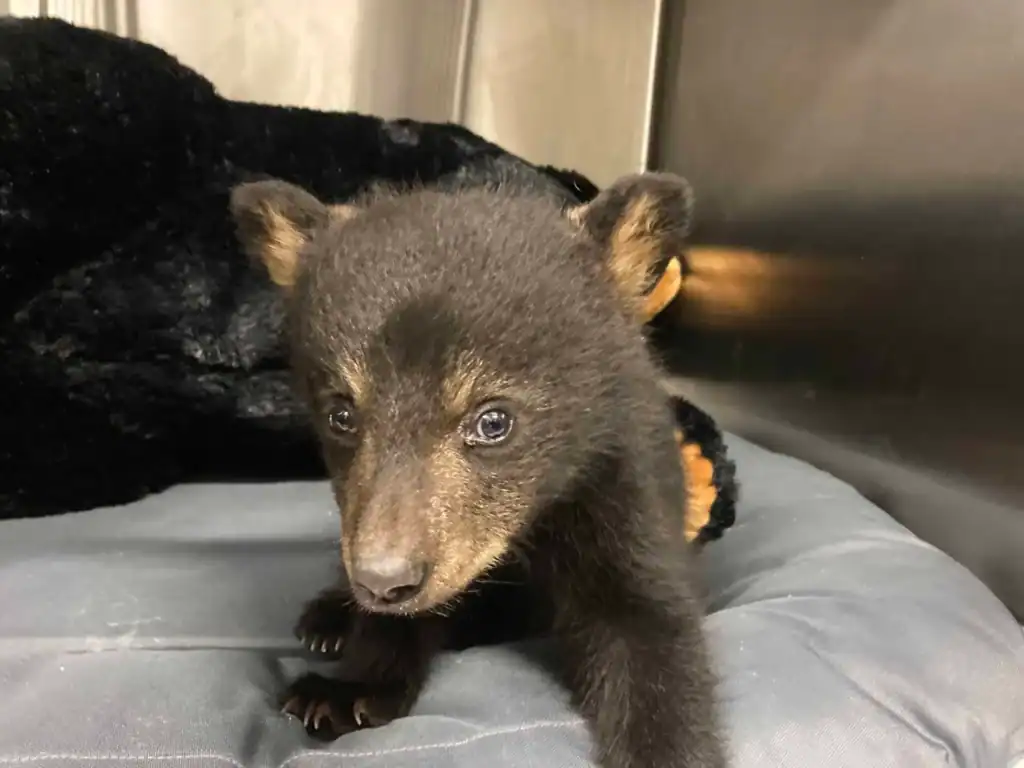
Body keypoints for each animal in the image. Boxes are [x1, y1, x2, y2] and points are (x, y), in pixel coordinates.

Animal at [228, 171, 726, 768]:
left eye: (493, 421)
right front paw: (346, 690)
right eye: (341, 415)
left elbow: (652, 635)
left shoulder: (617, 487)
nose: (382, 580)